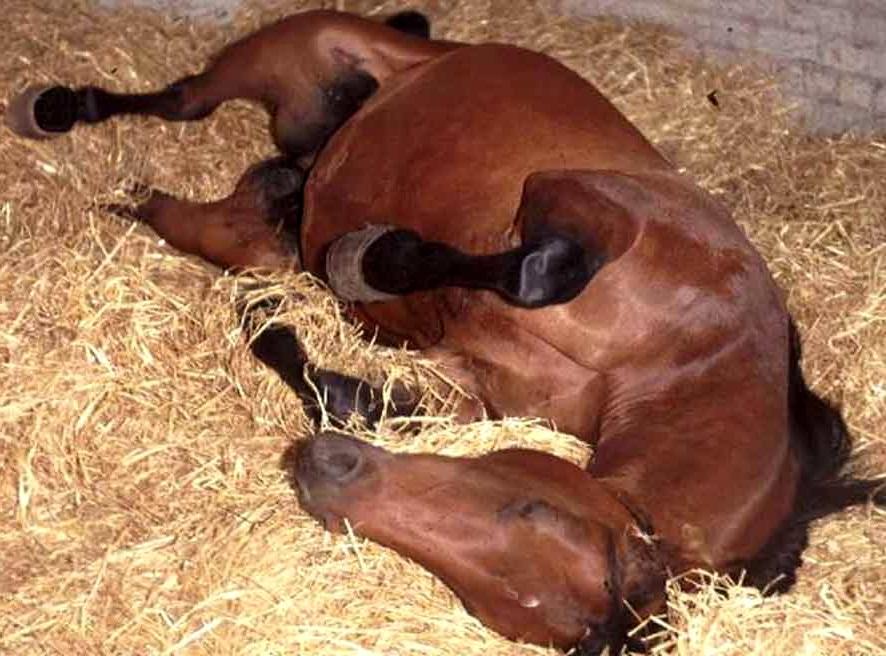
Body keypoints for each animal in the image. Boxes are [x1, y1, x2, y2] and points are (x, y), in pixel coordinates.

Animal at [8, 9, 882, 654]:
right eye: (530, 511)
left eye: (477, 598)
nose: (331, 479)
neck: (684, 359)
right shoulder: (582, 205)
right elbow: (535, 271)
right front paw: (368, 259)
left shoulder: (463, 385)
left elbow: (340, 390)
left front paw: (277, 321)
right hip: (295, 44)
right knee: (184, 97)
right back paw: (55, 107)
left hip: (252, 215)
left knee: (196, 209)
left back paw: (160, 200)